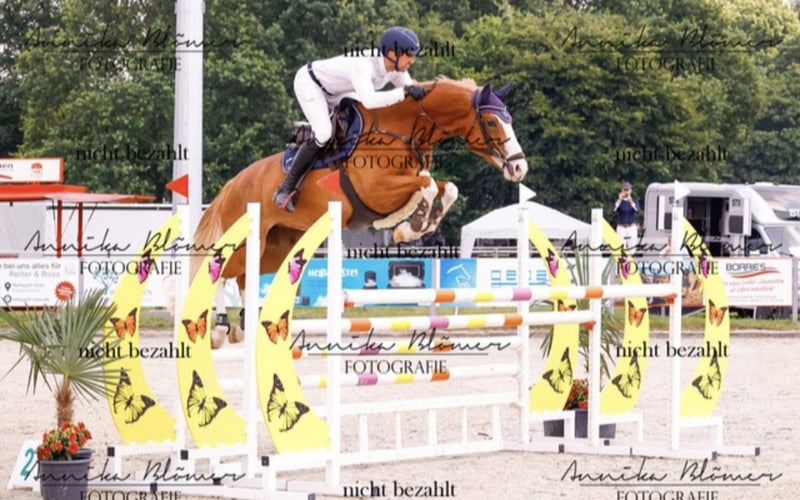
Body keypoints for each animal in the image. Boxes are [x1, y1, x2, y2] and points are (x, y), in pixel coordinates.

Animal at [190, 76, 529, 348]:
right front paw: (409, 223)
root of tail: (232, 184)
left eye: (511, 119)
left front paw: (415, 224)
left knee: (242, 277)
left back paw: (239, 326)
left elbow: (445, 188)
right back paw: (219, 330)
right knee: (219, 269)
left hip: (277, 248)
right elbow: (428, 183)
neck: (403, 131)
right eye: (493, 122)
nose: (519, 167)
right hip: (250, 241)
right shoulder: (378, 190)